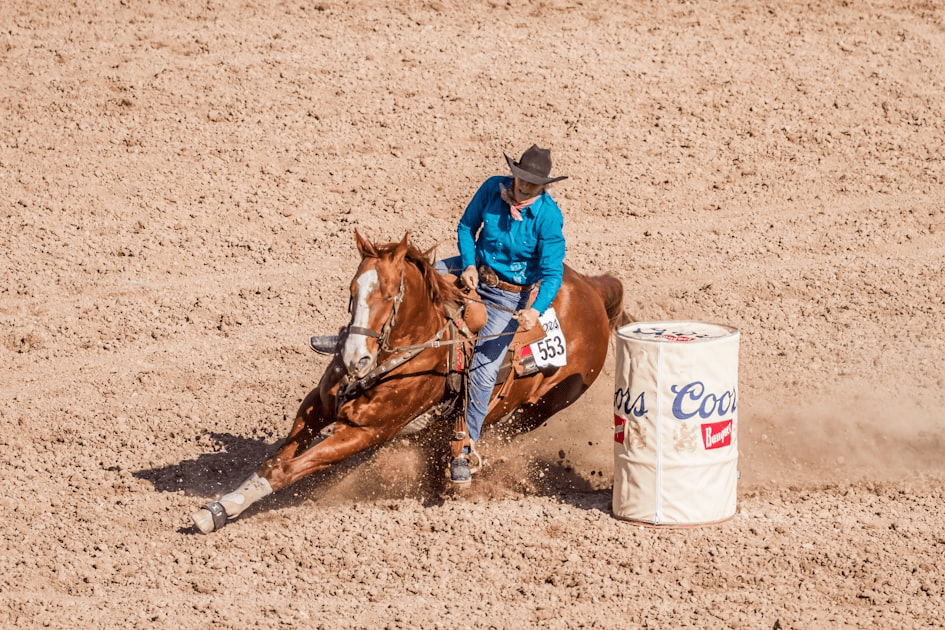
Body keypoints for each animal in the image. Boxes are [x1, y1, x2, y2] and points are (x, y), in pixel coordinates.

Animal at [192, 231, 630, 533]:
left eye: (389, 295)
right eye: (352, 291)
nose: (353, 357)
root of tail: (594, 289)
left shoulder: (365, 430)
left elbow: (289, 469)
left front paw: (224, 511)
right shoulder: (317, 406)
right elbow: (274, 461)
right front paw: (222, 505)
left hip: (538, 410)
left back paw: (457, 469)